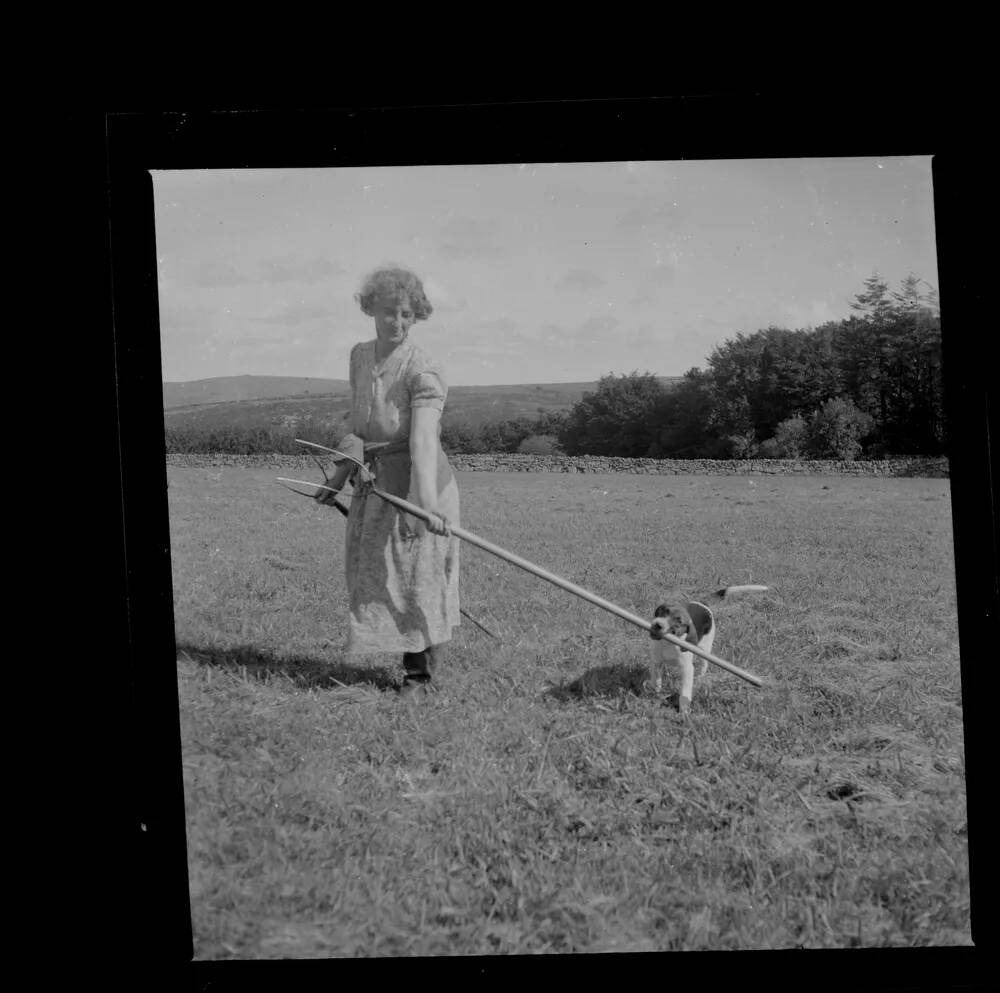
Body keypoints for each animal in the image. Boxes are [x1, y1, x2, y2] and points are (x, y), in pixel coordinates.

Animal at [648, 580, 764, 712]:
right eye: (664, 611)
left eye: (678, 622)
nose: (658, 625)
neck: (668, 643)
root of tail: (702, 604)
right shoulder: (656, 662)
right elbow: (656, 679)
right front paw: (655, 693)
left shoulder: (687, 669)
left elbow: (685, 692)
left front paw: (684, 711)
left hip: (705, 649)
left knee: (704, 665)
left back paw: (701, 677)